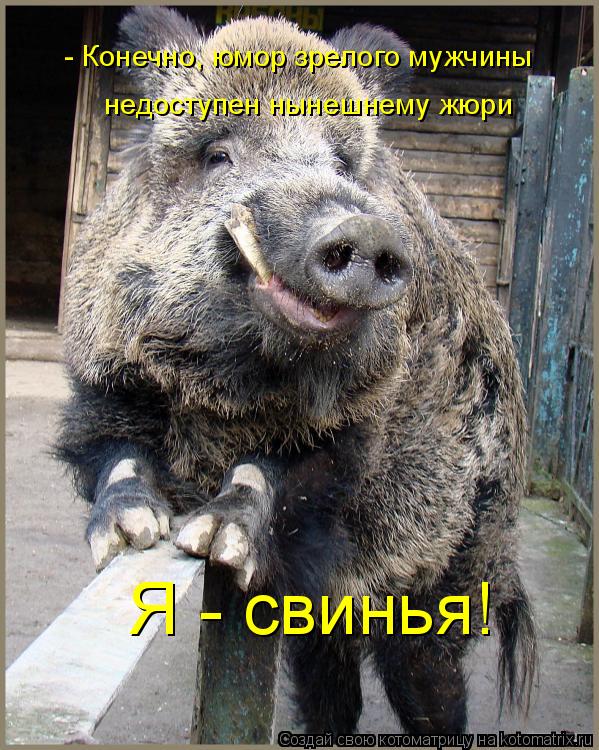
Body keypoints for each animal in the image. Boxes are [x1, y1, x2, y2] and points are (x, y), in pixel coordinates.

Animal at [57, 7, 537, 735]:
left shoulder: (354, 429)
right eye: (217, 154)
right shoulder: (103, 376)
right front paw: (134, 535)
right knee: (331, 692)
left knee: (434, 694)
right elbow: (113, 450)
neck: (229, 396)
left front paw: (214, 540)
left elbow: (280, 472)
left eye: (340, 162)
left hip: (449, 583)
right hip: (322, 622)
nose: (363, 231)